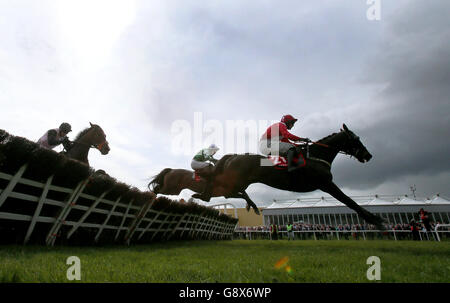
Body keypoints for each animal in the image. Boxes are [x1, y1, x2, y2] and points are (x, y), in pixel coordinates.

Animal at [192, 124, 384, 229]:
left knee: (227, 193)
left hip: (240, 182)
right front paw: (375, 219)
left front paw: (375, 219)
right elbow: (349, 201)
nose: (368, 155)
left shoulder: (326, 184)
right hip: (235, 181)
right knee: (221, 190)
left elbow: (348, 201)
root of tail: (233, 155)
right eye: (356, 139)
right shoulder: (326, 183)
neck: (317, 156)